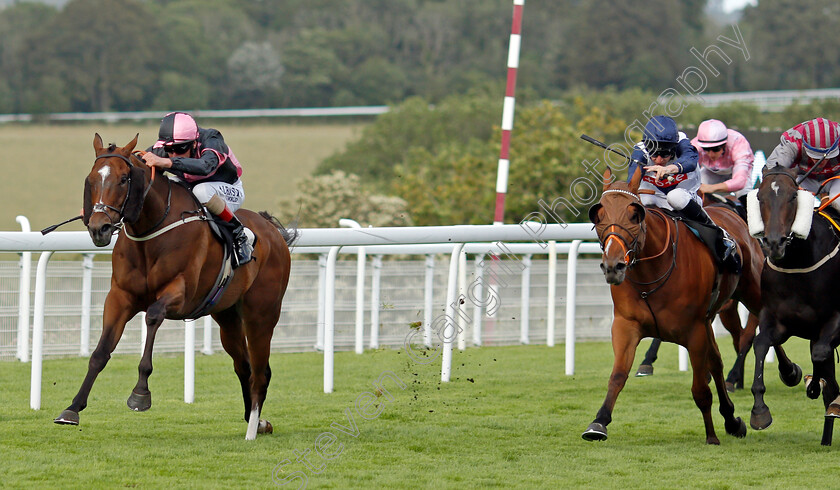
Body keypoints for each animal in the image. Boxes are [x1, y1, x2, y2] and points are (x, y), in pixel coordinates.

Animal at [52, 134, 296, 440]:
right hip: (227, 317)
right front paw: (72, 409)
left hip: (261, 314)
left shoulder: (180, 294)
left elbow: (153, 316)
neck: (150, 230)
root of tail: (272, 230)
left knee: (261, 372)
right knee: (244, 366)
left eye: (123, 179)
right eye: (91, 179)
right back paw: (259, 421)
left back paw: (252, 428)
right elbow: (100, 352)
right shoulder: (120, 297)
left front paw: (140, 394)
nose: (100, 228)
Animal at [580, 167, 764, 444]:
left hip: (752, 292)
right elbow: (618, 375)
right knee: (718, 360)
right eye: (598, 215)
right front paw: (598, 423)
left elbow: (700, 389)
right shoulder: (626, 325)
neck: (651, 271)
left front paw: (711, 436)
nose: (613, 266)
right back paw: (732, 419)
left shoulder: (694, 331)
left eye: (634, 214)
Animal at [748, 167, 840, 446]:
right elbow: (760, 344)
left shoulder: (834, 320)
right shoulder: (777, 320)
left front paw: (814, 385)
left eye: (792, 197)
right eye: (760, 197)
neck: (798, 264)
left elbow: (820, 353)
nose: (774, 242)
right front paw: (759, 411)